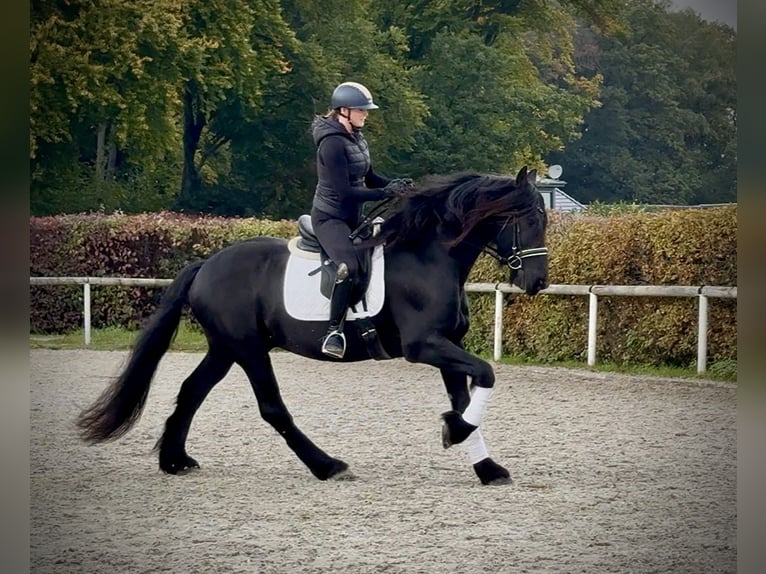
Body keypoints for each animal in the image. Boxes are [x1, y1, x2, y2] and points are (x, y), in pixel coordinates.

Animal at [76, 166, 549, 485]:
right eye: (529, 221)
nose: (538, 282)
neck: (428, 255)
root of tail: (206, 265)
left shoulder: (447, 344)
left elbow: (468, 394)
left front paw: (484, 463)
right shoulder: (424, 346)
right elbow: (484, 375)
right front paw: (456, 430)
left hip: (225, 348)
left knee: (192, 391)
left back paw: (175, 461)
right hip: (248, 349)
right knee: (272, 407)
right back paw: (328, 465)